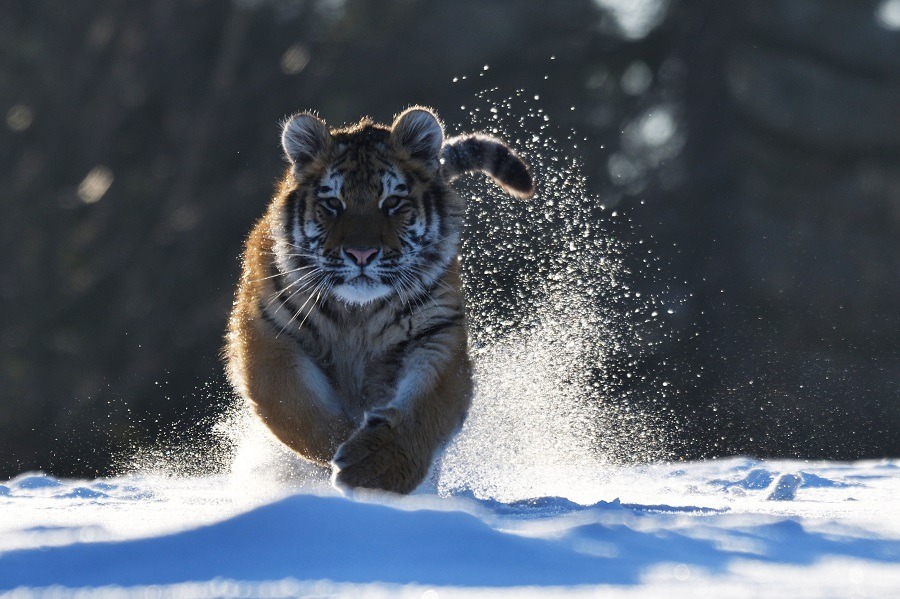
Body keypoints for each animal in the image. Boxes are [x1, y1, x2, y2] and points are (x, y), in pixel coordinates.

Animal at [225, 105, 536, 494]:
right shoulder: (269, 335)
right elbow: (299, 413)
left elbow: (425, 411)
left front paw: (374, 468)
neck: (357, 314)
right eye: (333, 203)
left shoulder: (437, 335)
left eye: (392, 202)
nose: (362, 254)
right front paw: (342, 445)